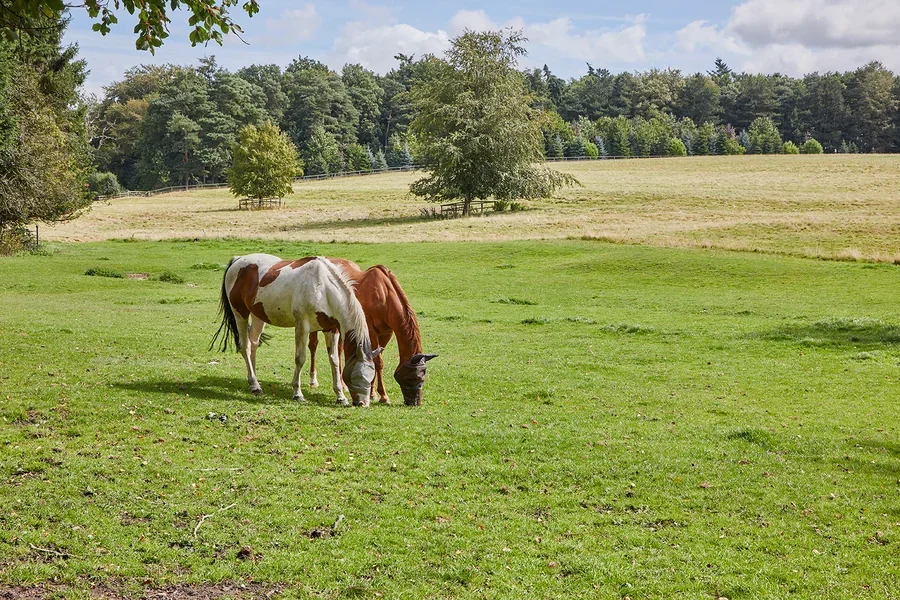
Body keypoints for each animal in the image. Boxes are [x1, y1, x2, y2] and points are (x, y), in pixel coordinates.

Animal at [210, 254, 382, 406]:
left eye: (371, 376)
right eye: (358, 376)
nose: (363, 403)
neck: (323, 287)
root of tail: (237, 260)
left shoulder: (331, 329)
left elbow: (334, 361)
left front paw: (340, 396)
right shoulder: (302, 327)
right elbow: (300, 359)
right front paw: (297, 393)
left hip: (258, 316)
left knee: (253, 344)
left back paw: (254, 382)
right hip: (240, 313)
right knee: (245, 346)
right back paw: (254, 384)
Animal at [306, 259, 437, 406]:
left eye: (423, 375)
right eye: (412, 377)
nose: (415, 402)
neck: (384, 295)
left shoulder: (386, 333)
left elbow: (375, 359)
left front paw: (373, 392)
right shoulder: (370, 331)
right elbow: (377, 362)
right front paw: (382, 396)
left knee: (338, 351)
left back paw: (343, 384)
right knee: (313, 346)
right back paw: (313, 381)